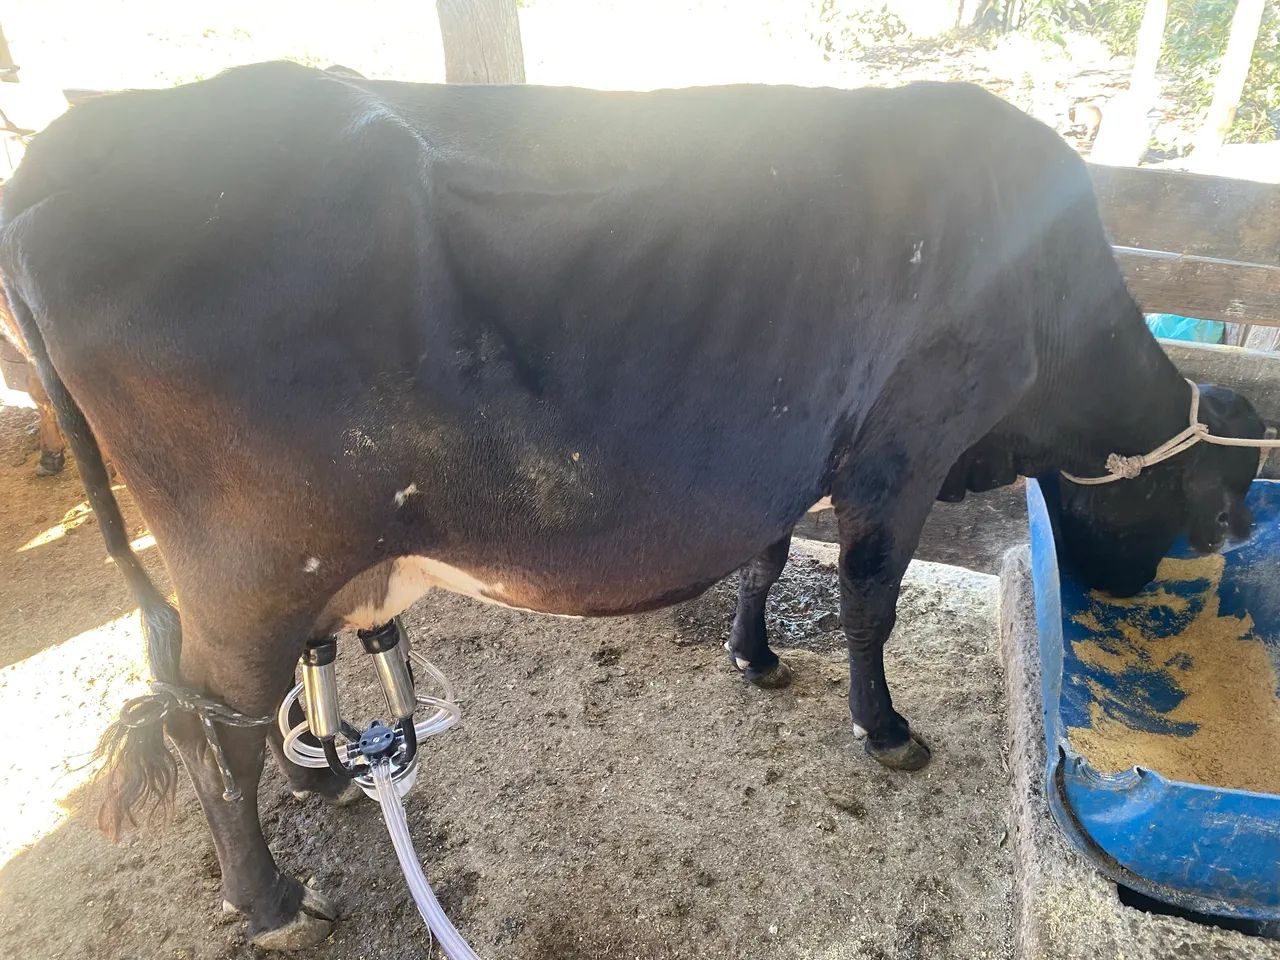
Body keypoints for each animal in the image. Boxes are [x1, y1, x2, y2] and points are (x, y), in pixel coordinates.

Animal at [0, 63, 1263, 950]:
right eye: (1202, 504)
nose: (1120, 590)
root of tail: (65, 153)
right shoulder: (899, 450)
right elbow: (869, 601)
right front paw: (885, 728)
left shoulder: (780, 453)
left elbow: (765, 558)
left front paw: (754, 658)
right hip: (254, 562)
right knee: (207, 732)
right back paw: (271, 901)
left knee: (237, 702)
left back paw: (326, 773)